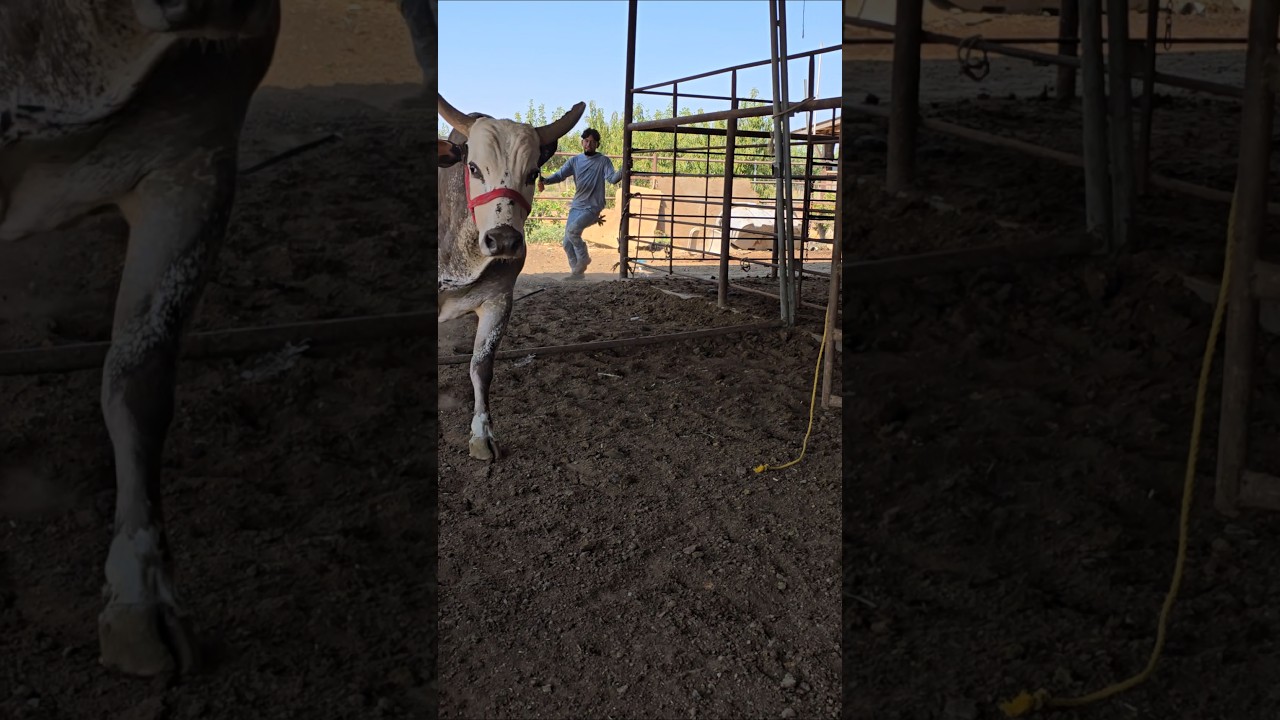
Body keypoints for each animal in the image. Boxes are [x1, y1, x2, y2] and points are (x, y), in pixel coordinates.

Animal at [437, 95, 584, 460]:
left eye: (532, 173)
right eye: (474, 168)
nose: (503, 240)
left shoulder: (499, 301)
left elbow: (481, 366)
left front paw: (481, 435)